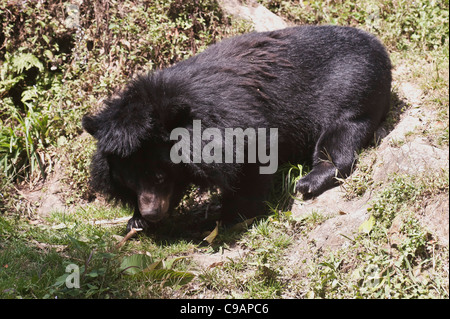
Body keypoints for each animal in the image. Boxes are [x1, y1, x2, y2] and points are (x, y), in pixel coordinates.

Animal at [82, 25, 392, 232]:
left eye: (158, 176)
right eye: (129, 181)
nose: (151, 213)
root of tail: (378, 46)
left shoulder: (234, 122)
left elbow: (251, 161)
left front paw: (229, 216)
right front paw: (135, 220)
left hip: (351, 88)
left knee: (339, 134)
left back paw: (309, 180)